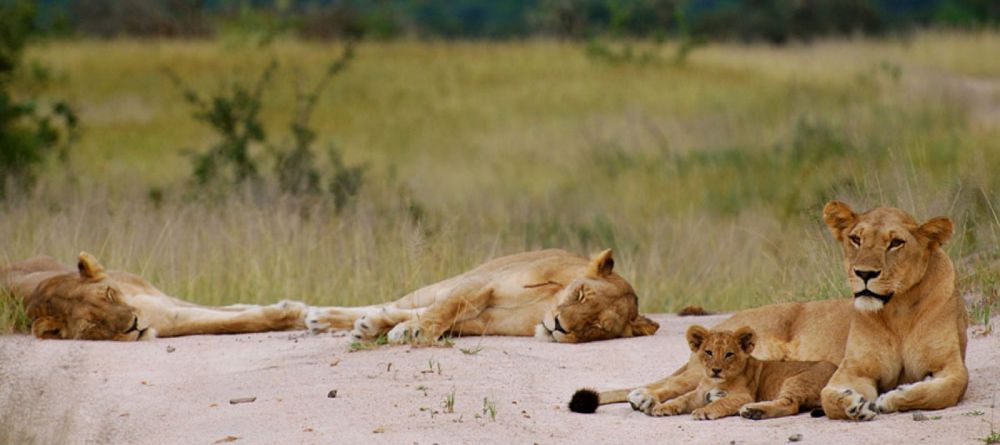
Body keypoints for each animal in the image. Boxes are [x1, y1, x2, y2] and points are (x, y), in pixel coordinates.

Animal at [0, 253, 308, 340]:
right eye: (93, 325)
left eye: (109, 295)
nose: (134, 325)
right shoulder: (169, 316)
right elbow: (230, 321)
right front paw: (292, 314)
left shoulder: (162, 301)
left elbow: (230, 312)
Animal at [308, 248, 660, 342]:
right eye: (582, 294)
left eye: (597, 327)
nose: (559, 325)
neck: (543, 306)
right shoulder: (483, 283)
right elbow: (447, 308)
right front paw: (415, 332)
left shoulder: (483, 322)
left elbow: (441, 317)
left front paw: (400, 328)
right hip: (448, 281)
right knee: (393, 303)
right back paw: (317, 317)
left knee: (395, 309)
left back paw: (369, 325)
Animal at [636, 324, 832, 418]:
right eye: (709, 352)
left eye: (729, 354)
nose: (716, 370)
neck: (715, 381)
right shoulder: (700, 394)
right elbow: (682, 399)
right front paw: (663, 407)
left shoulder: (743, 396)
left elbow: (721, 402)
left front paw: (703, 412)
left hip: (795, 380)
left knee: (790, 404)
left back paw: (753, 411)